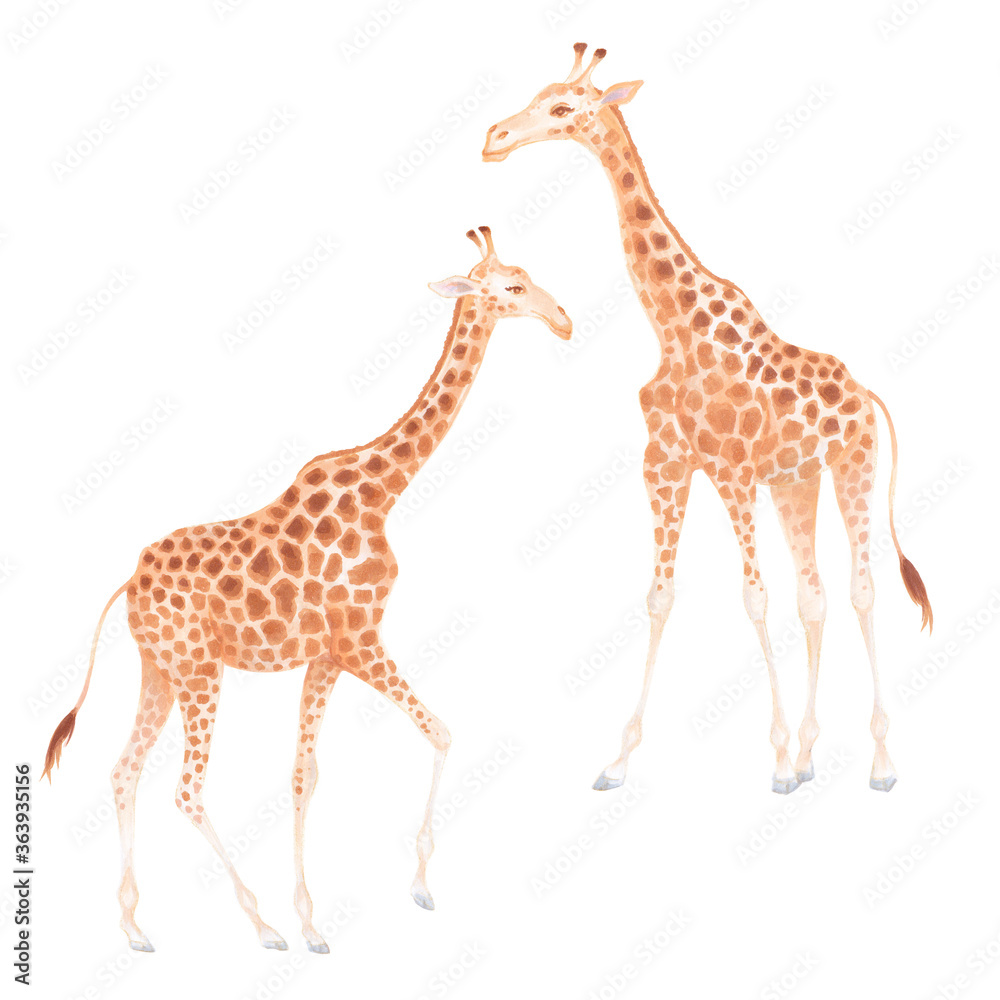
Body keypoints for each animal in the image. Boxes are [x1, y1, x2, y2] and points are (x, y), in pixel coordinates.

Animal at [41, 226, 572, 953]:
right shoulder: (360, 639)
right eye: (514, 287)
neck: (383, 491)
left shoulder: (326, 655)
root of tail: (128, 583)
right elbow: (440, 731)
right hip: (200, 669)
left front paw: (315, 922)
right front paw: (416, 887)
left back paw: (134, 927)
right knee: (185, 787)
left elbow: (305, 774)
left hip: (160, 666)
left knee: (125, 769)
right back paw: (259, 925)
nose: (565, 321)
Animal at [484, 44, 932, 796]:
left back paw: (879, 764)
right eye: (538, 96)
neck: (672, 327)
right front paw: (618, 761)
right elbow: (662, 596)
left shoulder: (731, 470)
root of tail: (869, 393)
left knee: (862, 589)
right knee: (815, 595)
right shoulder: (666, 463)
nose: (495, 138)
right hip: (797, 481)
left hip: (853, 467)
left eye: (564, 107)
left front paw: (775, 763)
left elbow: (753, 596)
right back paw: (812, 756)